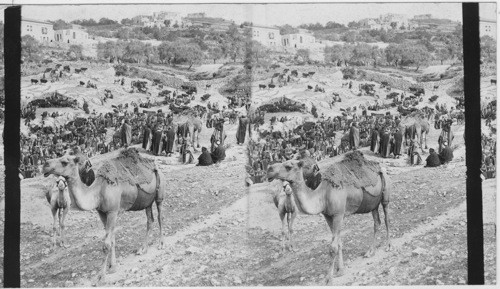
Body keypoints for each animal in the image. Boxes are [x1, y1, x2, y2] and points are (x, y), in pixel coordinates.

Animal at [42, 152, 167, 282]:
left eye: (64, 162)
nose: (45, 165)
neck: (99, 191)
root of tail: (157, 167)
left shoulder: (113, 211)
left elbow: (106, 244)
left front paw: (101, 276)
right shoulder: (102, 213)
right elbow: (112, 240)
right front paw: (112, 267)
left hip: (159, 195)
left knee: (160, 217)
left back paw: (161, 244)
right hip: (147, 202)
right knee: (150, 220)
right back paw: (143, 249)